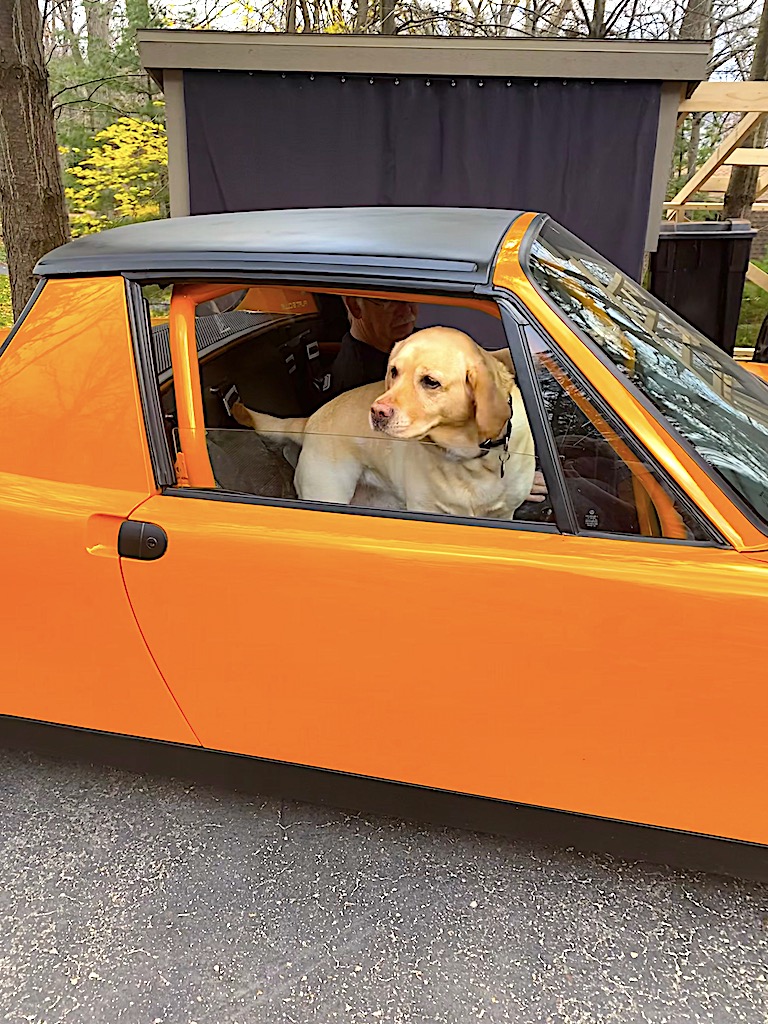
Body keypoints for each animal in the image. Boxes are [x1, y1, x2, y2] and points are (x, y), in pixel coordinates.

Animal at [232, 327, 536, 520]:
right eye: (394, 371)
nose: (377, 412)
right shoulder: (424, 509)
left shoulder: (505, 513)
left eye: (431, 382)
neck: (469, 460)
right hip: (327, 491)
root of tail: (312, 418)